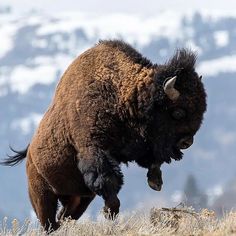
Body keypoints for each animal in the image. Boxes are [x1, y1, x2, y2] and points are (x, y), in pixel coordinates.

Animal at [0, 39, 206, 231]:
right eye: (178, 112)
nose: (187, 142)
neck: (121, 92)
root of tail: (29, 154)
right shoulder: (94, 151)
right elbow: (109, 182)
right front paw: (110, 212)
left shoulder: (137, 146)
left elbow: (151, 160)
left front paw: (155, 182)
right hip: (42, 195)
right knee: (49, 221)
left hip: (78, 199)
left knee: (64, 217)